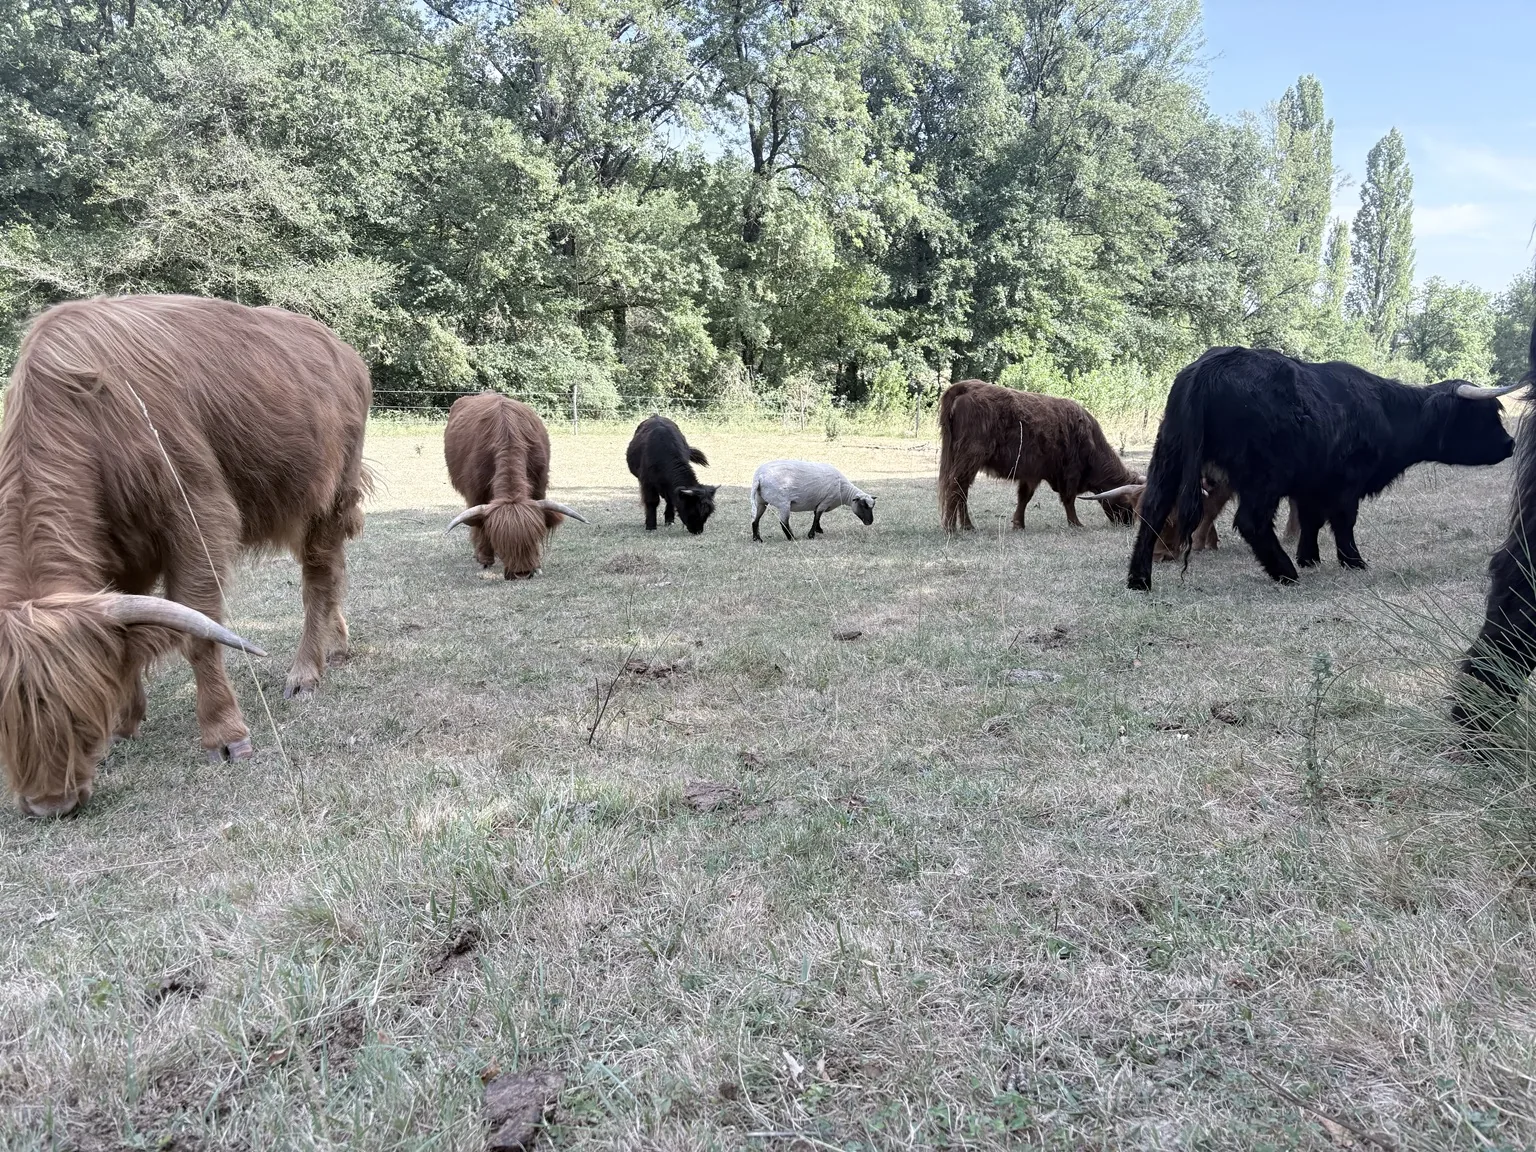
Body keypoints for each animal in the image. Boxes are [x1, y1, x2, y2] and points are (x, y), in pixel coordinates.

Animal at [0, 294, 371, 817]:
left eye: (77, 712)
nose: (49, 804)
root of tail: (343, 350)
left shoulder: (198, 514)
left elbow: (197, 627)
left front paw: (225, 735)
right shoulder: (119, 555)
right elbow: (130, 635)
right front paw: (127, 721)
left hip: (326, 498)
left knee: (318, 578)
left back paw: (304, 674)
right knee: (333, 572)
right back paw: (335, 646)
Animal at [444, 393, 586, 579]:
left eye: (534, 538)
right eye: (501, 543)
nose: (522, 573)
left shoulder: (539, 488)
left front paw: (537, 564)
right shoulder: (476, 493)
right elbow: (481, 527)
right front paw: (485, 558)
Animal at [938, 380, 1141, 533]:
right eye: (1128, 502)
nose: (1128, 524)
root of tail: (967, 386)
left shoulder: (1032, 473)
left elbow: (1024, 497)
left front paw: (1019, 524)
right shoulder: (1070, 473)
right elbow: (1069, 499)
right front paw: (1076, 523)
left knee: (962, 490)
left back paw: (967, 526)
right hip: (970, 456)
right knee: (955, 486)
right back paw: (951, 528)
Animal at [1127, 347, 1520, 591]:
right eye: (1484, 416)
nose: (1511, 444)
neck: (1384, 411)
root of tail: (1212, 363)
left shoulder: (1312, 483)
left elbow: (1311, 520)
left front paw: (1310, 557)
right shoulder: (1347, 482)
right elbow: (1343, 522)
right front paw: (1352, 562)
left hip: (1169, 454)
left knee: (1153, 508)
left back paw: (1139, 580)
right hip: (1263, 475)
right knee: (1251, 521)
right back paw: (1285, 573)